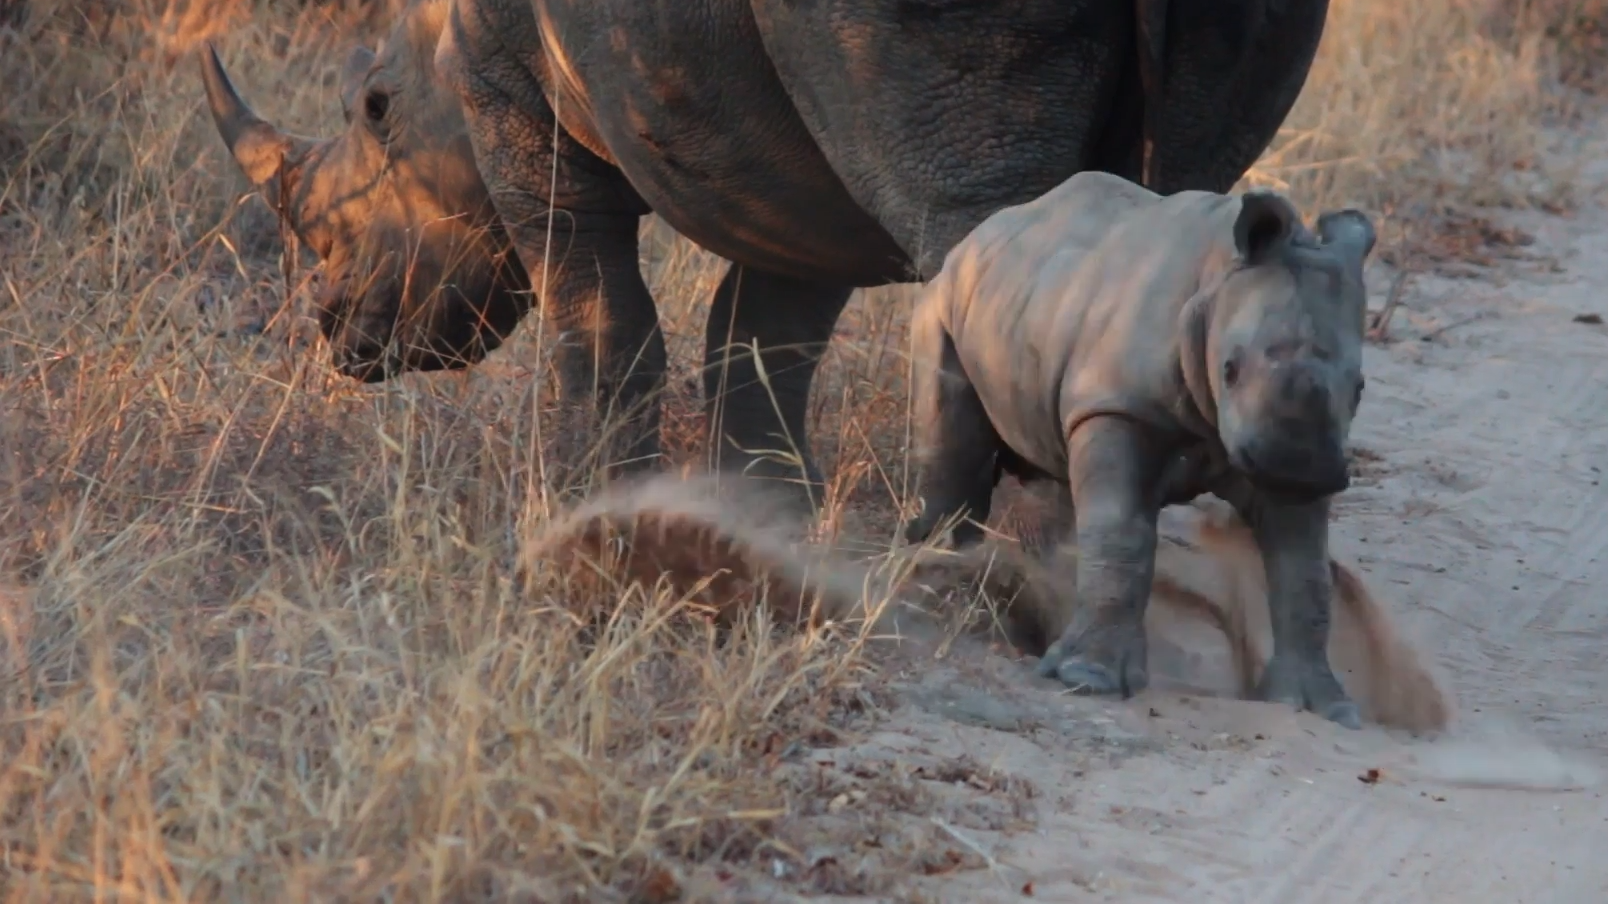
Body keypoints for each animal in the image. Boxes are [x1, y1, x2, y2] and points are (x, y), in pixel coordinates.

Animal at [200, 0, 1332, 498]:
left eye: (374, 110)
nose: (339, 337)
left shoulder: (509, 97)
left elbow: (596, 314)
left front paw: (584, 500)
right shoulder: (792, 170)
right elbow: (762, 334)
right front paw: (759, 507)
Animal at [901, 170, 1377, 727]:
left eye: (1360, 388)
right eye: (1230, 369)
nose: (1295, 467)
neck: (1215, 281)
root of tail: (983, 231)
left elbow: (1304, 572)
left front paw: (1322, 707)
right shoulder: (1116, 405)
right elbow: (1122, 531)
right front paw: (1088, 678)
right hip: (945, 297)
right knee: (953, 428)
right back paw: (942, 566)